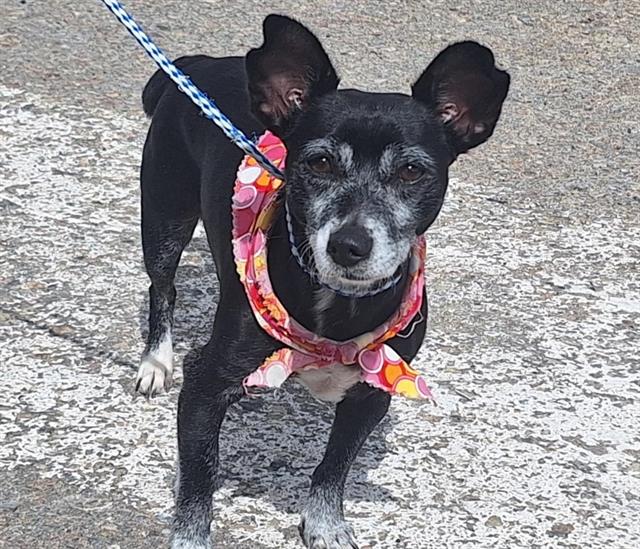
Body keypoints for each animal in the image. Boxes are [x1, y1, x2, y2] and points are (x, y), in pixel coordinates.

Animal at [135, 13, 510, 548]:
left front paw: (325, 524)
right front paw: (191, 537)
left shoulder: (373, 394)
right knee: (161, 287)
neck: (338, 305)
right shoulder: (204, 386)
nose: (349, 244)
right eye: (319, 162)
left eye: (411, 171)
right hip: (164, 216)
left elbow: (335, 466)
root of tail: (200, 63)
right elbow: (200, 475)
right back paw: (155, 361)